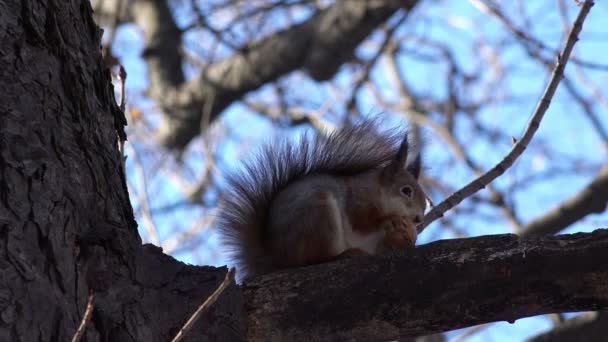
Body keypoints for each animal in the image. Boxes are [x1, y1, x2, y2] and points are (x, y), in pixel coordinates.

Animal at [218, 119, 428, 280]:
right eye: (406, 191)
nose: (418, 219)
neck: (378, 192)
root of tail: (275, 259)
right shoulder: (357, 200)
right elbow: (361, 221)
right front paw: (392, 220)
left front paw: (407, 235)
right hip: (318, 215)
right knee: (315, 259)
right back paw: (345, 254)